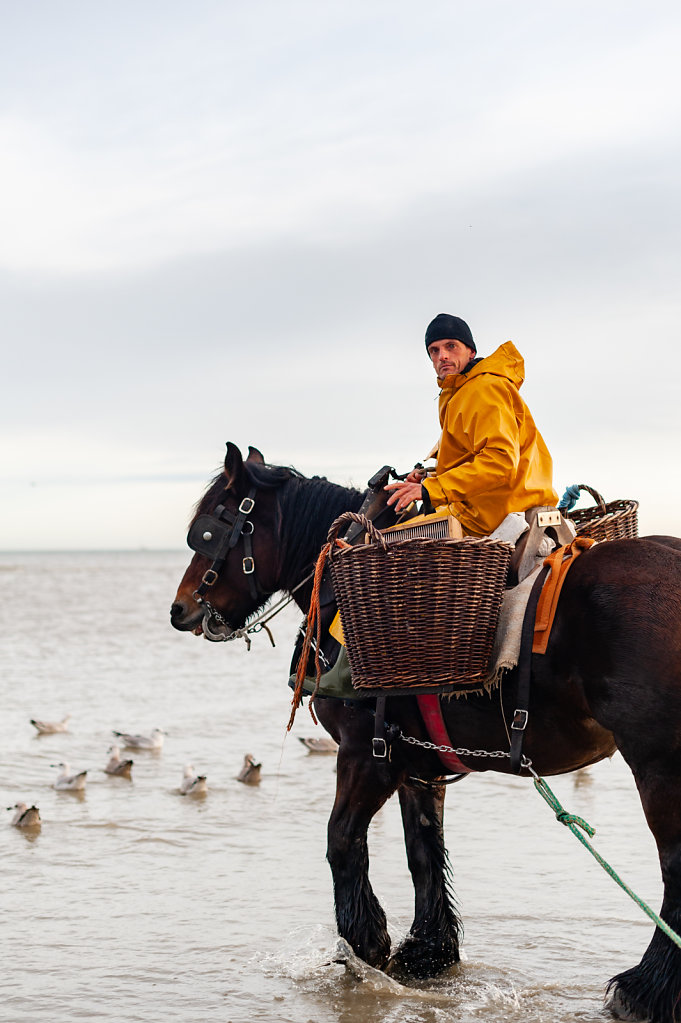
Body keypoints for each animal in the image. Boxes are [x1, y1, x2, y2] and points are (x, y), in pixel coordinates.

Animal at [170, 441, 681, 1023]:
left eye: (210, 532)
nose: (180, 609)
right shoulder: (419, 766)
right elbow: (424, 850)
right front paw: (429, 951)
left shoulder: (366, 756)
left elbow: (341, 840)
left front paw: (363, 944)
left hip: (658, 764)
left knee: (675, 867)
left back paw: (645, 988)